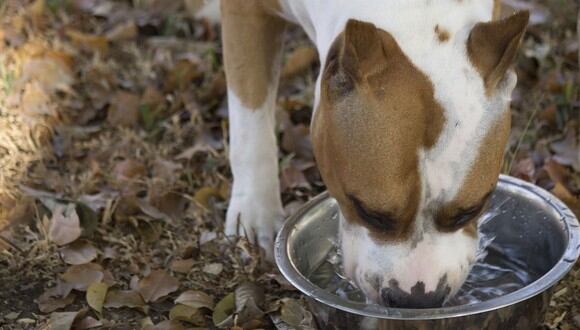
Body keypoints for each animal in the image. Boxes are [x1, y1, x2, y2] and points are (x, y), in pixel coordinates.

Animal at [219, 0, 532, 308]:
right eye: (369, 213)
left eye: (471, 210)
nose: (417, 300)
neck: (413, 10)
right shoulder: (246, 12)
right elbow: (250, 121)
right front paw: (255, 214)